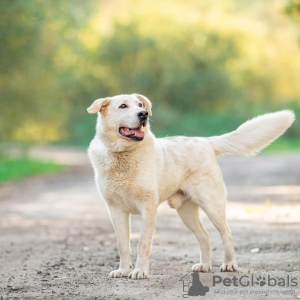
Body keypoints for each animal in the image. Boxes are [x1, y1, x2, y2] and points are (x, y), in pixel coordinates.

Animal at [86, 93, 296, 278]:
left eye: (140, 105)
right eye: (123, 106)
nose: (144, 114)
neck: (123, 156)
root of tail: (206, 142)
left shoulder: (148, 208)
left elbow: (143, 244)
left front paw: (140, 272)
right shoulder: (116, 211)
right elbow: (123, 245)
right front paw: (123, 271)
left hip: (212, 205)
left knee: (226, 233)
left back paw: (229, 264)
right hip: (186, 212)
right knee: (205, 236)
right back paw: (204, 266)